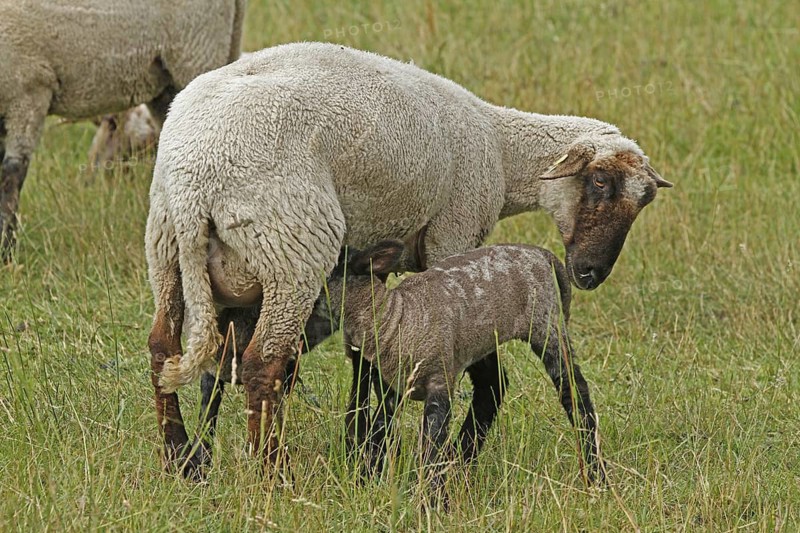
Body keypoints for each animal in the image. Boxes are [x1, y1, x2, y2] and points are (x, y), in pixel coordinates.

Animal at [146, 42, 670, 476]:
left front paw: (365, 452)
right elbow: (487, 377)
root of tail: (194, 184)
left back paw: (183, 459)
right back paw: (270, 472)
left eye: (643, 203)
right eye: (599, 182)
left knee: (164, 350)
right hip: (289, 250)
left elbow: (366, 364)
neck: (503, 151)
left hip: (168, 252)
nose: (590, 274)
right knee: (261, 365)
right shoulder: (453, 236)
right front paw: (456, 458)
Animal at [316, 240, 601, 505]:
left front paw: (431, 502)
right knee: (493, 388)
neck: (397, 318)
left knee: (574, 390)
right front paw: (365, 481)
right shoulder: (392, 389)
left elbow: (431, 445)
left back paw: (595, 474)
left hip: (546, 325)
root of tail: (542, 254)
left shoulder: (440, 381)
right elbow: (377, 433)